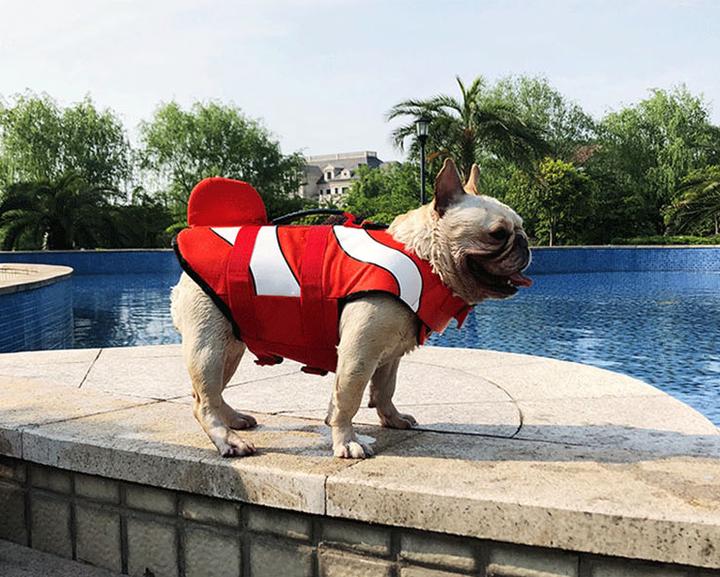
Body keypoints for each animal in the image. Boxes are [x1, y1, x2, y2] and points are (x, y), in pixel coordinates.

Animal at [169, 158, 528, 460]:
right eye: (497, 234)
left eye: (520, 227)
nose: (524, 243)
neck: (422, 256)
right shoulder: (358, 355)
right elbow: (349, 399)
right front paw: (347, 442)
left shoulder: (389, 356)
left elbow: (384, 390)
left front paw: (391, 418)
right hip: (209, 348)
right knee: (204, 402)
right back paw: (228, 440)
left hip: (231, 346)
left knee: (211, 393)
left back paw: (233, 419)